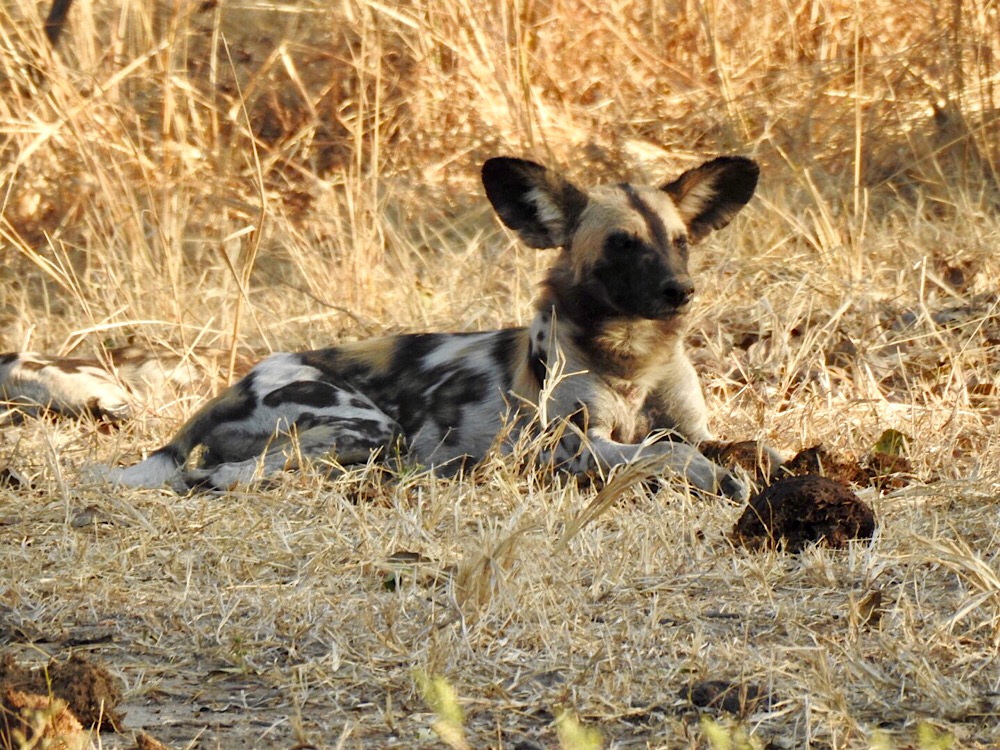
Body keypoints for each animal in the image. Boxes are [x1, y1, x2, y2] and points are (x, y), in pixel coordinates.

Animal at [99, 156, 756, 496]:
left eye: (680, 242)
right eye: (622, 244)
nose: (681, 292)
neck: (632, 359)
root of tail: (232, 384)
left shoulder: (694, 428)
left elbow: (746, 446)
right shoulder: (572, 446)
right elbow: (663, 453)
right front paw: (717, 480)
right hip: (370, 430)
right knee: (213, 475)